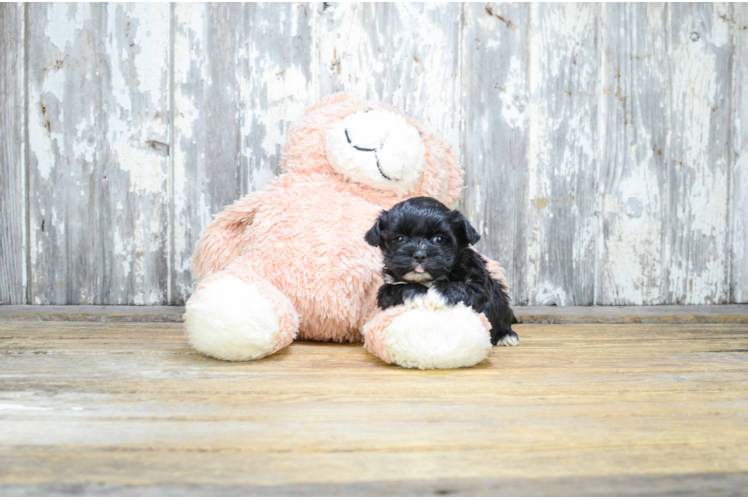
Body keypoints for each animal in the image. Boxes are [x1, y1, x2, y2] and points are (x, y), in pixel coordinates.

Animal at [364, 197, 516, 346]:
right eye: (400, 238)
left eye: (439, 239)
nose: (419, 254)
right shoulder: (386, 292)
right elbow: (396, 289)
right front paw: (417, 293)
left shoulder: (479, 288)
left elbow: (463, 288)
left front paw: (437, 294)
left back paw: (505, 335)